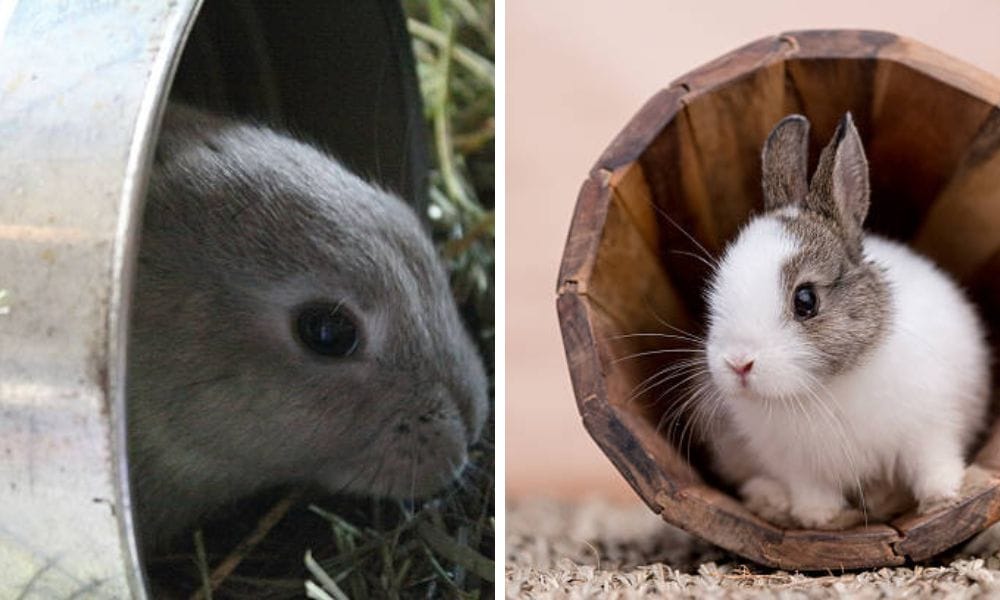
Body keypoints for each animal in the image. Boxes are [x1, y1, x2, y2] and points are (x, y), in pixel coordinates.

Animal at [699, 112, 991, 529]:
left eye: (805, 300)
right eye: (716, 289)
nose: (738, 363)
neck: (820, 389)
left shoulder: (931, 428)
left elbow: (931, 462)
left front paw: (943, 496)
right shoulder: (797, 466)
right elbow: (812, 492)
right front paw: (817, 518)